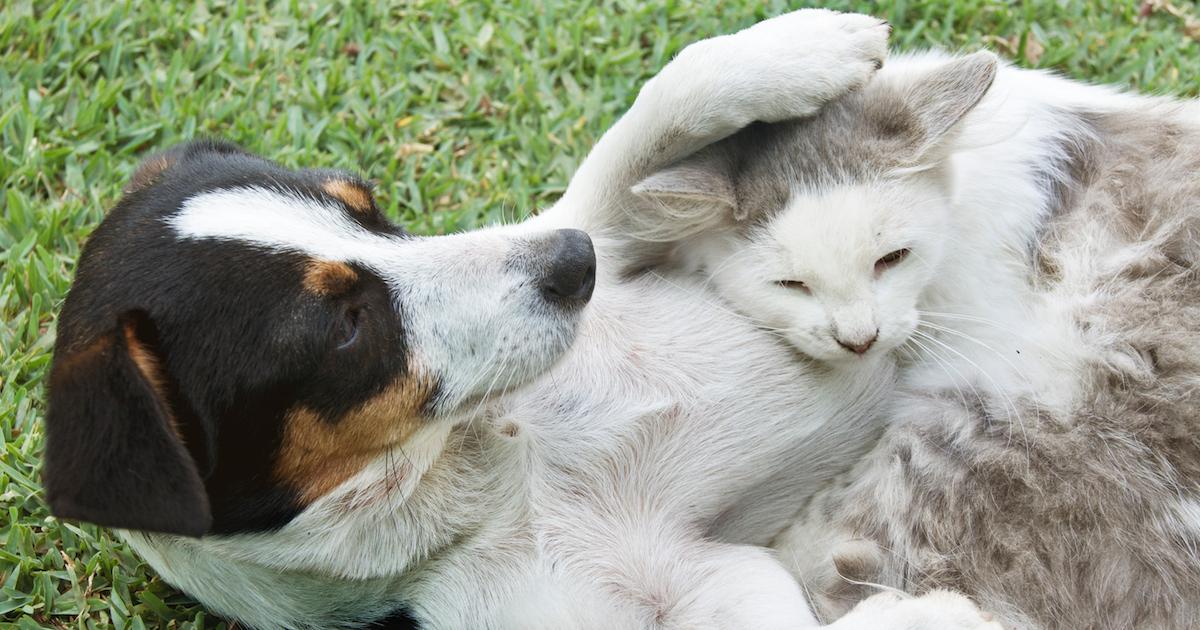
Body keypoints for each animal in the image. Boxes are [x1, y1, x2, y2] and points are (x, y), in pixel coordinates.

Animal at [42, 9, 998, 628]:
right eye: (344, 325)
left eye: (369, 207)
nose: (575, 263)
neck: (499, 460)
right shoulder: (687, 585)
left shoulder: (610, 224)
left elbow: (653, 115)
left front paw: (798, 46)